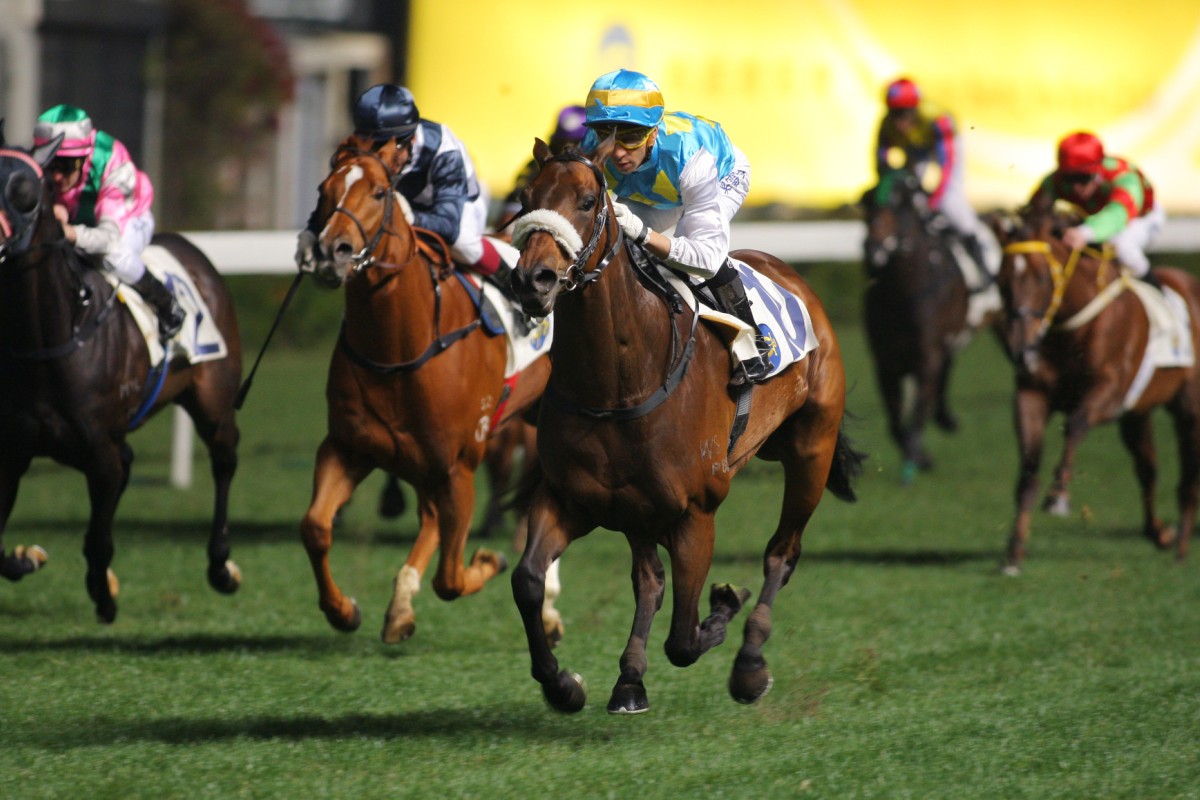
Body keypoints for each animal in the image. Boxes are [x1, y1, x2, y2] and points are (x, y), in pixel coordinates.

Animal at [0, 134, 243, 623]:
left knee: (225, 460)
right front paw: (27, 557)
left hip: (214, 401)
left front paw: (104, 595)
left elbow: (98, 541)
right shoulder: (14, 450)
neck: (53, 337)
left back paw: (221, 566)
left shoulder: (101, 455)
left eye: (25, 191)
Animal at [304, 134, 556, 642]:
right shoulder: (349, 447)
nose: (332, 251)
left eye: (379, 192)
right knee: (431, 519)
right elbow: (316, 527)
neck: (400, 349)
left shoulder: (458, 466)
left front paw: (489, 559)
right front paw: (343, 610)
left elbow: (452, 578)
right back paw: (401, 606)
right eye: (324, 190)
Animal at [506, 139, 864, 714]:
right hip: (635, 507)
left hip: (812, 449)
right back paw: (630, 679)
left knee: (781, 554)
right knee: (649, 579)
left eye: (587, 201)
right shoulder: (569, 498)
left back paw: (749, 663)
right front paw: (564, 685)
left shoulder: (696, 513)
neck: (617, 383)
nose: (531, 280)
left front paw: (724, 605)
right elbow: (528, 580)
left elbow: (684, 638)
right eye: (525, 198)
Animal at [864, 166, 1003, 484]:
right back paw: (945, 418)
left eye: (901, 204)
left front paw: (913, 463)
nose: (873, 250)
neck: (901, 293)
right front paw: (921, 456)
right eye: (866, 201)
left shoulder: (926, 356)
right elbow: (895, 420)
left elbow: (916, 416)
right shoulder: (885, 362)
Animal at [988, 203, 1200, 573]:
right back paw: (1161, 533)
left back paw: (1181, 550)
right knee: (1148, 469)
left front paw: (1058, 496)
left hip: (1190, 408)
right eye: (1001, 282)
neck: (1070, 330)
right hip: (1138, 413)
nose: (1020, 350)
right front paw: (1013, 554)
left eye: (1041, 278)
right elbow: (1028, 472)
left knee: (1189, 479)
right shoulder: (1032, 394)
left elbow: (1075, 423)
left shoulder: (1110, 391)